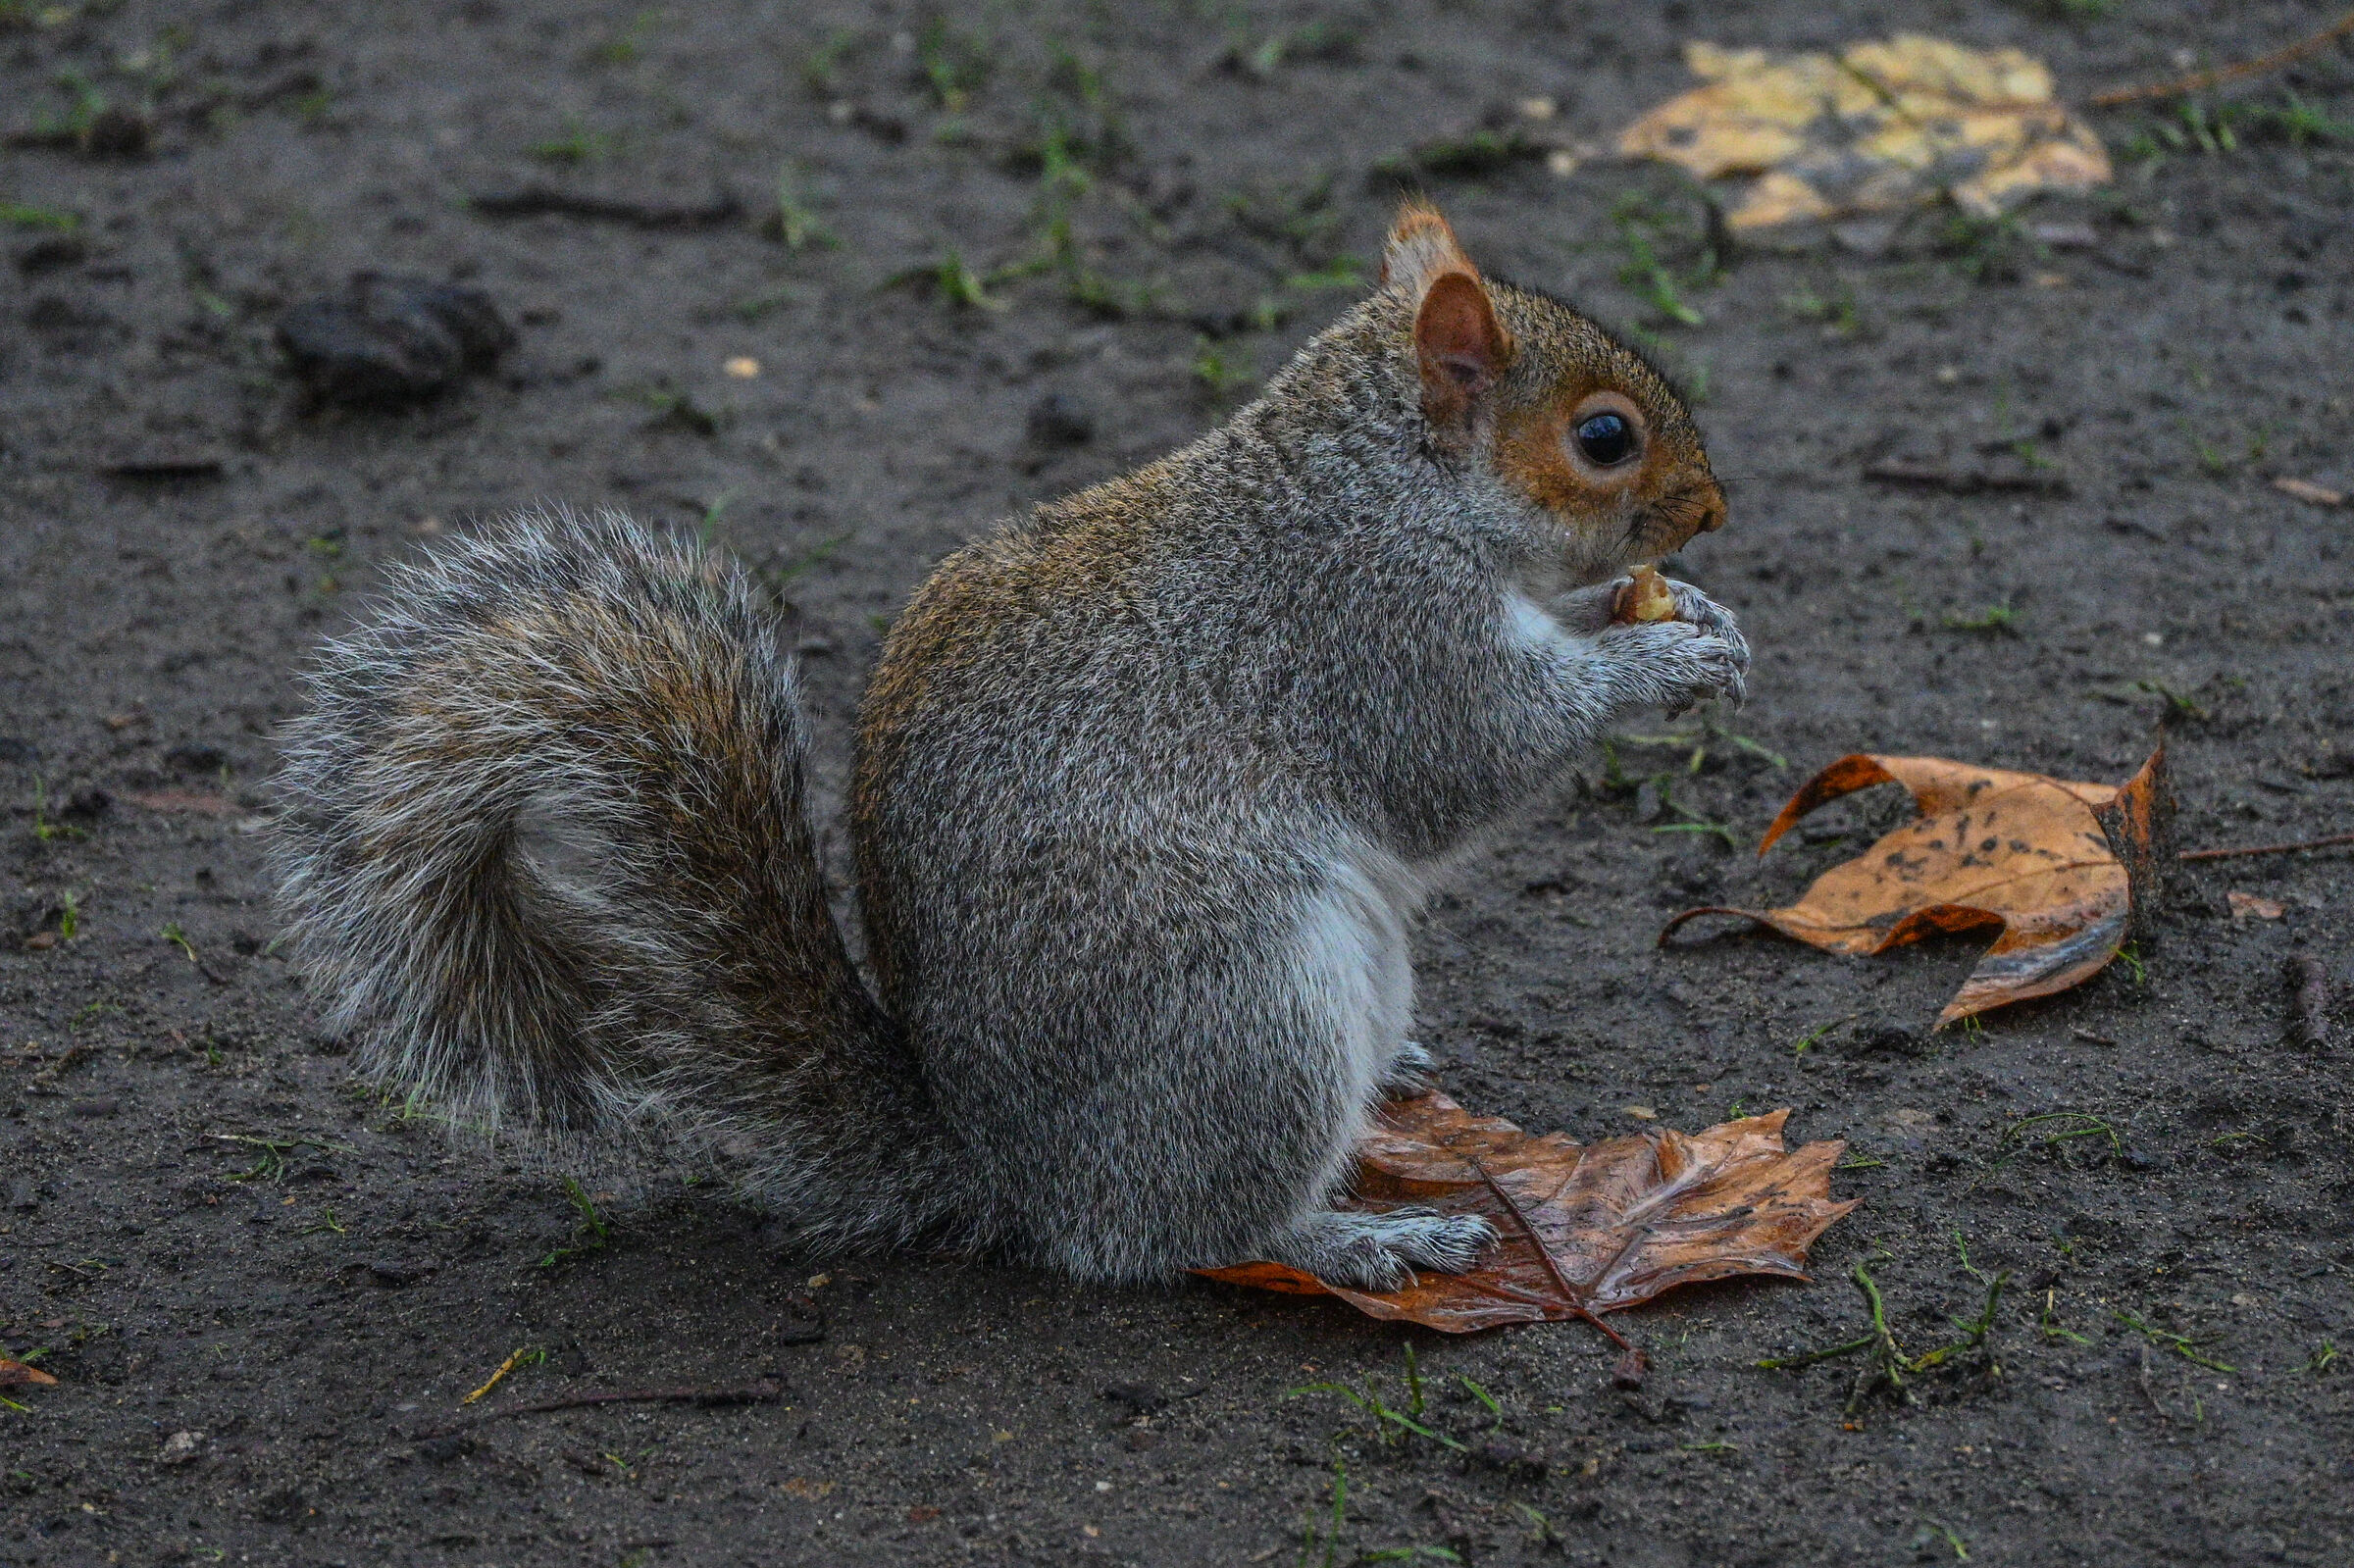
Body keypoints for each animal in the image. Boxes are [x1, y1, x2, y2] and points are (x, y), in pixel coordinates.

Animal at [272, 200, 1746, 1291]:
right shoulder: (1372, 625)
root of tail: (1006, 1165)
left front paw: (1690, 612)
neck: (1391, 486)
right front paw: (1656, 660)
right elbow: (1467, 756)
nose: (1715, 511)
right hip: (1251, 1013)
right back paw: (1359, 1235)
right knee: (1175, 1234)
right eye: (1603, 437)